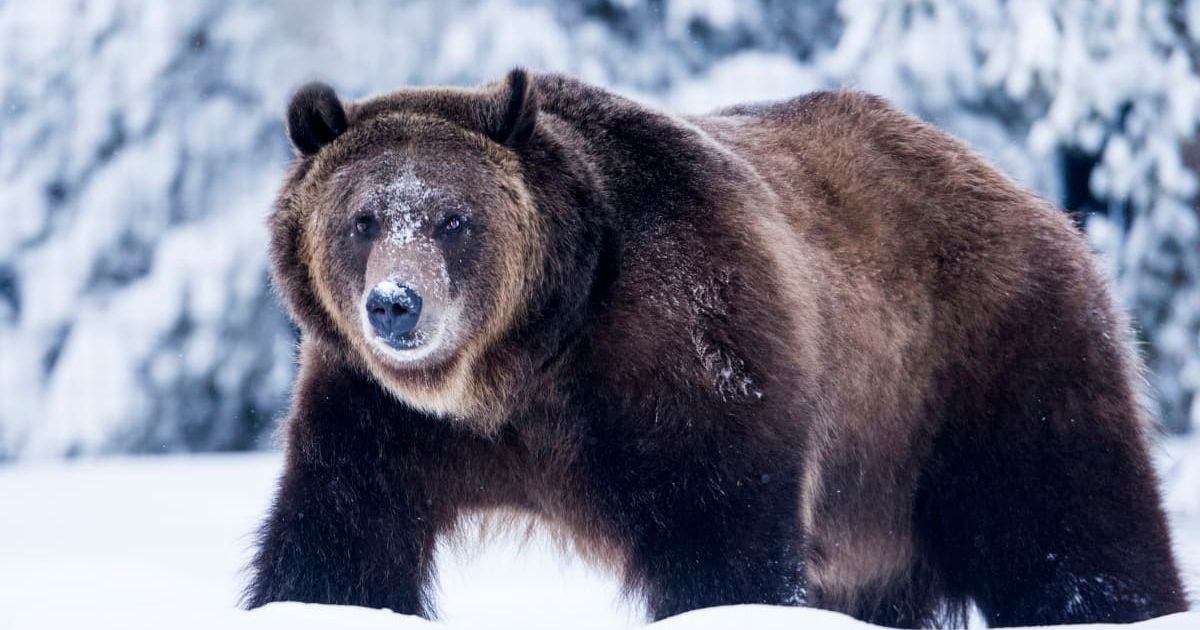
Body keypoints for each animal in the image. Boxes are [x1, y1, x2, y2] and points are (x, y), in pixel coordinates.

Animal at [245, 69, 1188, 627]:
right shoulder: (376, 415)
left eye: (453, 218)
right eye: (363, 219)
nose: (395, 306)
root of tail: (1035, 201)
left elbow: (722, 535)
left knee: (1071, 527)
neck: (522, 365)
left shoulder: (688, 352)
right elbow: (338, 541)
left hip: (985, 368)